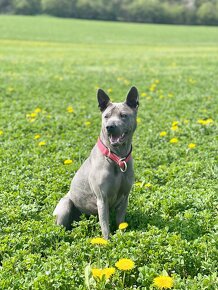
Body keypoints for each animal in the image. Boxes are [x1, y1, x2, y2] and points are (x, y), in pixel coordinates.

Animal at [53, 85, 140, 238]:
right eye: (106, 116)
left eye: (123, 115)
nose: (109, 127)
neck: (117, 157)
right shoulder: (102, 199)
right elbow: (105, 227)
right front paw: (107, 241)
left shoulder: (124, 198)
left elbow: (120, 223)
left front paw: (122, 237)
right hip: (65, 205)